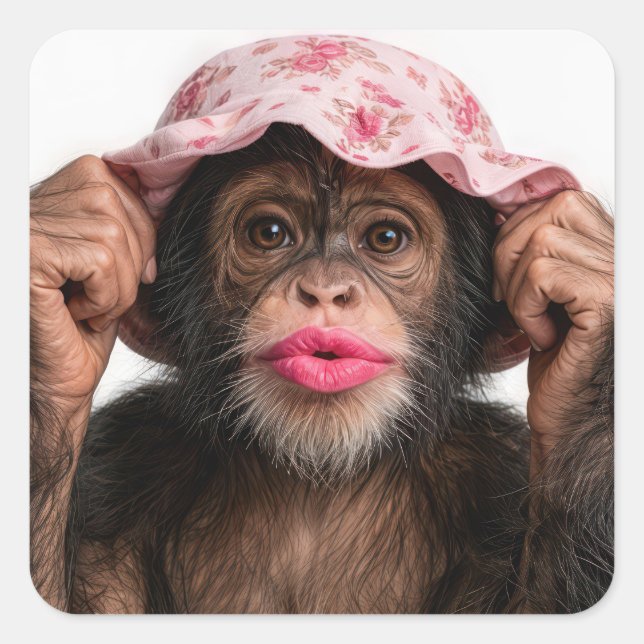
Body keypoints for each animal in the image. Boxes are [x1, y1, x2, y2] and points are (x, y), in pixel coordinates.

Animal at [30, 122, 614, 614]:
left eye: (385, 239)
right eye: (269, 232)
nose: (327, 289)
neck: (317, 482)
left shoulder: (499, 469)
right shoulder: (117, 474)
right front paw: (69, 228)